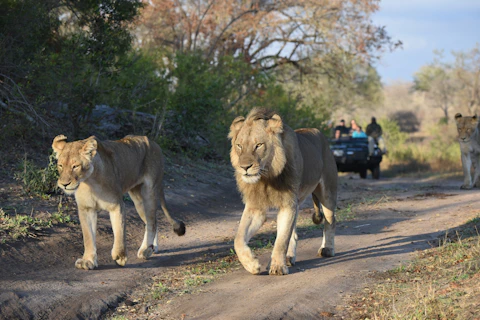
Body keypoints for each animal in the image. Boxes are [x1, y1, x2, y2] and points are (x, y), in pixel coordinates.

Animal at [52, 135, 186, 270]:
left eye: (75, 166)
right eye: (60, 165)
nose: (64, 184)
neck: (89, 182)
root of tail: (153, 142)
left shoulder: (116, 205)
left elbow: (119, 232)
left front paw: (120, 257)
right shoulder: (86, 209)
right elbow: (88, 237)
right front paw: (88, 261)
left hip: (149, 192)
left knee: (152, 222)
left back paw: (146, 250)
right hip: (138, 200)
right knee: (152, 221)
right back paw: (153, 247)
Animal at [229, 108, 338, 276]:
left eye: (258, 145)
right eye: (239, 146)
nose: (244, 167)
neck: (266, 177)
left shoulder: (287, 204)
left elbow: (281, 240)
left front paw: (277, 267)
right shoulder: (256, 206)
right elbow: (238, 239)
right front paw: (252, 264)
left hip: (328, 194)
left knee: (330, 221)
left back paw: (327, 249)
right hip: (297, 203)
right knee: (293, 231)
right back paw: (288, 257)